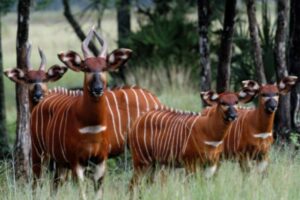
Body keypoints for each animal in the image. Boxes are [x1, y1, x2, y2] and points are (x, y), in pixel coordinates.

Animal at [30, 27, 132, 198]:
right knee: (36, 183)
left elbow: (98, 194)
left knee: (54, 186)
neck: (91, 126)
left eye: (104, 68)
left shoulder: (100, 160)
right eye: (86, 68)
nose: (98, 89)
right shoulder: (77, 161)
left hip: (59, 162)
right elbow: (82, 193)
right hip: (39, 153)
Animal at [127, 90, 255, 188]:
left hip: (154, 163)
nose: (233, 116)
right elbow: (189, 186)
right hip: (141, 161)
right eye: (223, 102)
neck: (208, 131)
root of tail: (137, 121)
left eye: (236, 102)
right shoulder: (190, 163)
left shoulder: (211, 164)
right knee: (133, 184)